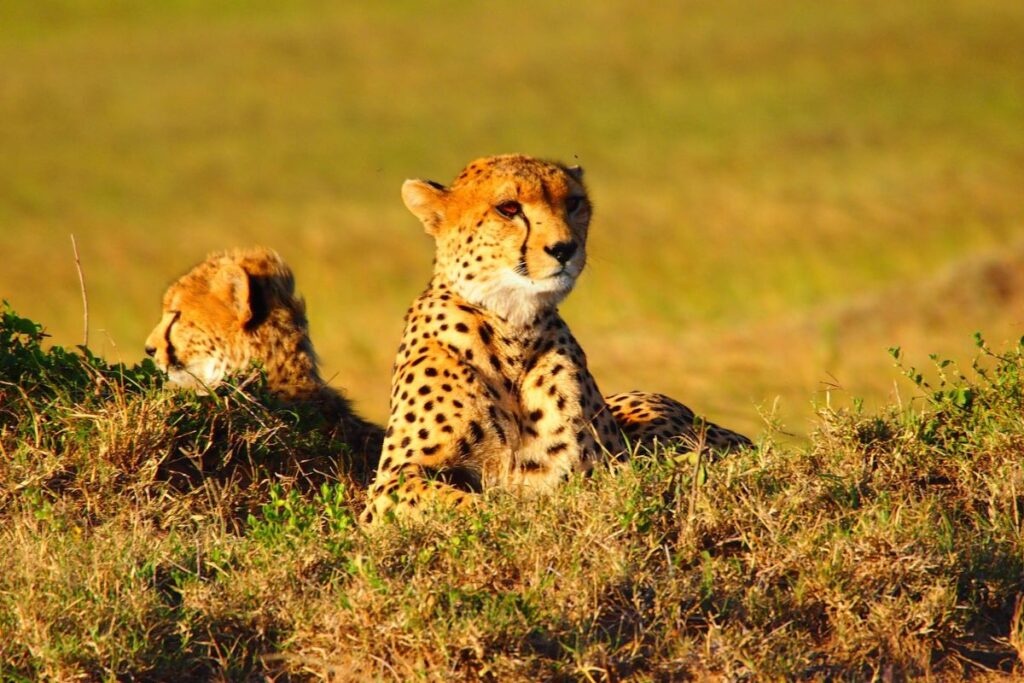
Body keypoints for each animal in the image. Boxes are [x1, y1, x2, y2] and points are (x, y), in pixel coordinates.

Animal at [364, 153, 749, 524]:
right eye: (509, 208)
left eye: (573, 203)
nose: (565, 249)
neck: (512, 327)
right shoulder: (391, 482)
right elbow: (466, 503)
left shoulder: (590, 471)